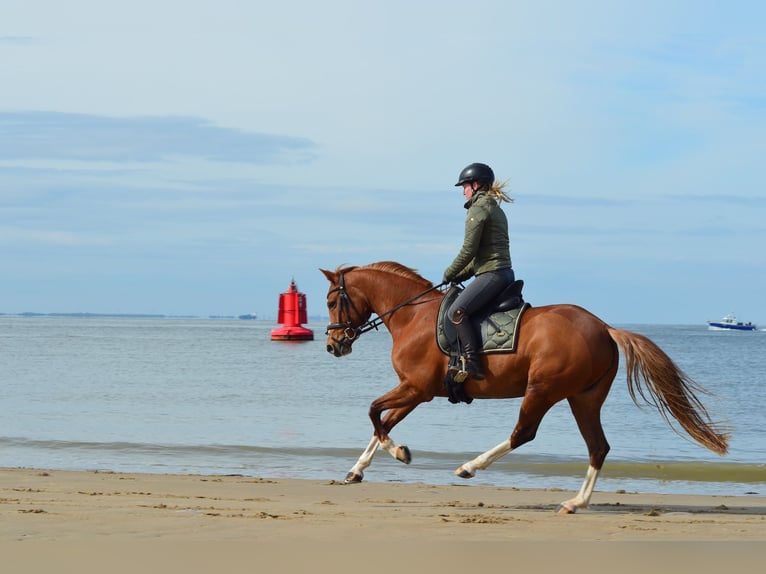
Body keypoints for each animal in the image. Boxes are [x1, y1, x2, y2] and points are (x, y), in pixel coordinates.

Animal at [321, 261, 729, 514]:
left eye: (331, 301)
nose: (333, 345)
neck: (413, 315)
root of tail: (603, 327)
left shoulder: (416, 388)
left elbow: (374, 413)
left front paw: (399, 452)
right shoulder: (416, 390)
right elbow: (384, 421)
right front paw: (357, 470)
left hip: (543, 391)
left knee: (524, 433)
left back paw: (470, 467)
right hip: (584, 398)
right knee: (597, 447)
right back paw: (575, 503)